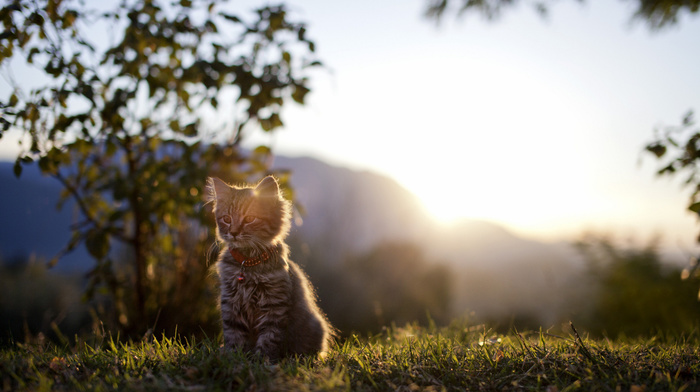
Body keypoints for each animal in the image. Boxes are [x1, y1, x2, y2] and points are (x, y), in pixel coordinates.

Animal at [206, 176, 332, 360]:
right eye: (227, 219)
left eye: (249, 219)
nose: (234, 232)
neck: (248, 263)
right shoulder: (231, 301)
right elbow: (234, 334)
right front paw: (234, 356)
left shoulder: (274, 304)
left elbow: (269, 337)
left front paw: (261, 359)